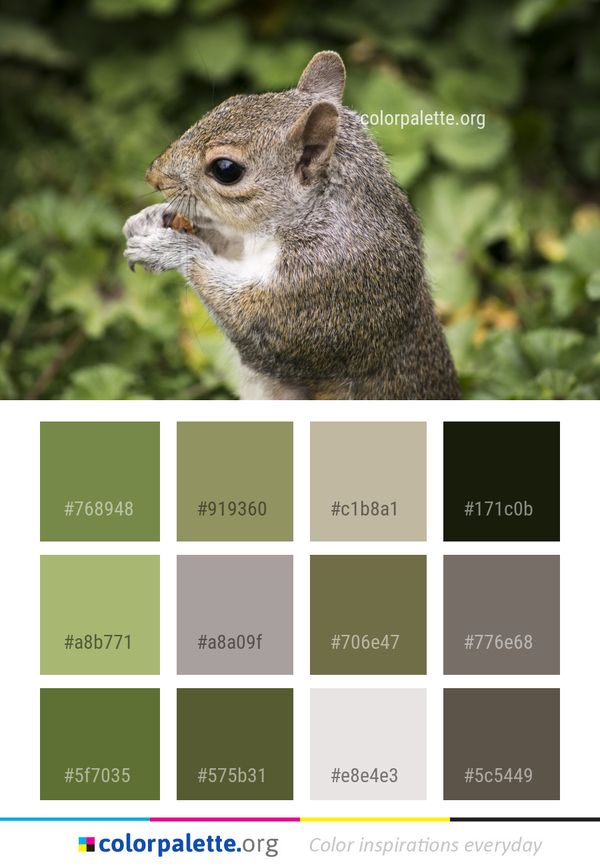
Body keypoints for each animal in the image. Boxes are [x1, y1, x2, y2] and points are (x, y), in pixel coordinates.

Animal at [123, 51, 460, 400]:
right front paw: (151, 218)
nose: (154, 176)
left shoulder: (322, 288)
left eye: (226, 169)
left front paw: (170, 249)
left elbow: (250, 324)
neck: (308, 217)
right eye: (231, 101)